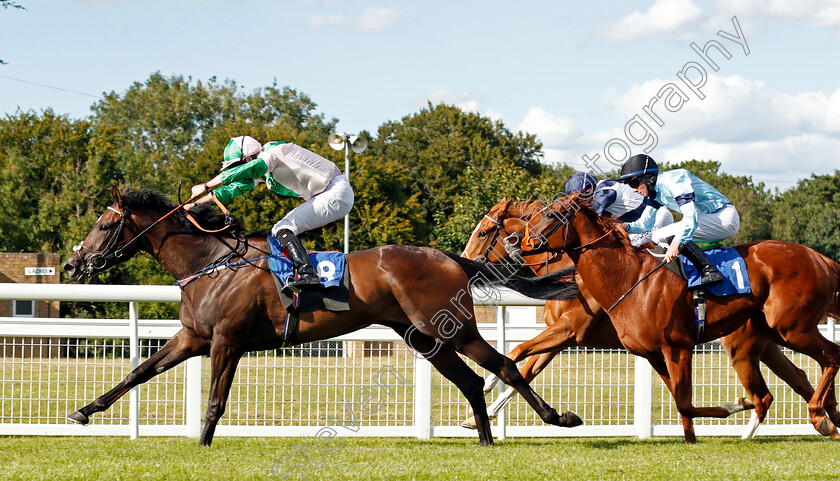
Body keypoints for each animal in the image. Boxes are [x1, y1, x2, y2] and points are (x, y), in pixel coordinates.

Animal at [62, 188, 584, 446]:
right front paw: (84, 411)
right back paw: (485, 441)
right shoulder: (193, 337)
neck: (211, 262)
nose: (72, 265)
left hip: (447, 328)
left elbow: (215, 400)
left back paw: (558, 418)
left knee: (505, 366)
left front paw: (204, 443)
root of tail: (450, 257)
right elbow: (138, 372)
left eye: (104, 225)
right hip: (423, 337)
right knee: (473, 380)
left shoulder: (227, 340)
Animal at [460, 199, 832, 438]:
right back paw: (827, 422)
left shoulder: (569, 331)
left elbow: (521, 355)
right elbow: (527, 365)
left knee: (784, 384)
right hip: (769, 340)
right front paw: (480, 412)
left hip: (760, 340)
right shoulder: (564, 336)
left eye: (483, 233)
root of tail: (819, 258)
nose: (464, 262)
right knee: (797, 379)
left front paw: (486, 396)